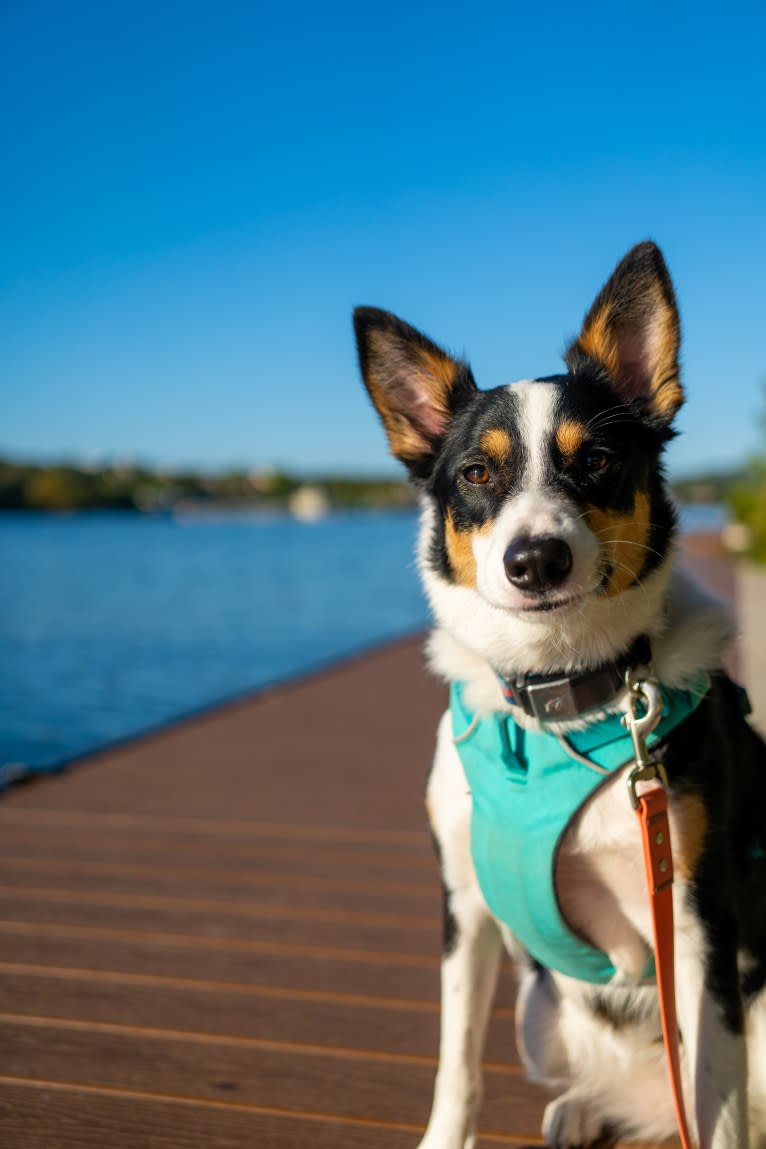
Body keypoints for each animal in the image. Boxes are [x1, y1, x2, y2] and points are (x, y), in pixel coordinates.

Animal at [351, 240, 766, 1149]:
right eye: (476, 471)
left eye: (597, 461)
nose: (535, 559)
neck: (558, 699)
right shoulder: (464, 910)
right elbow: (456, 1068)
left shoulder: (700, 920)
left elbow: (715, 1103)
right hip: (539, 1011)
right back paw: (583, 1108)